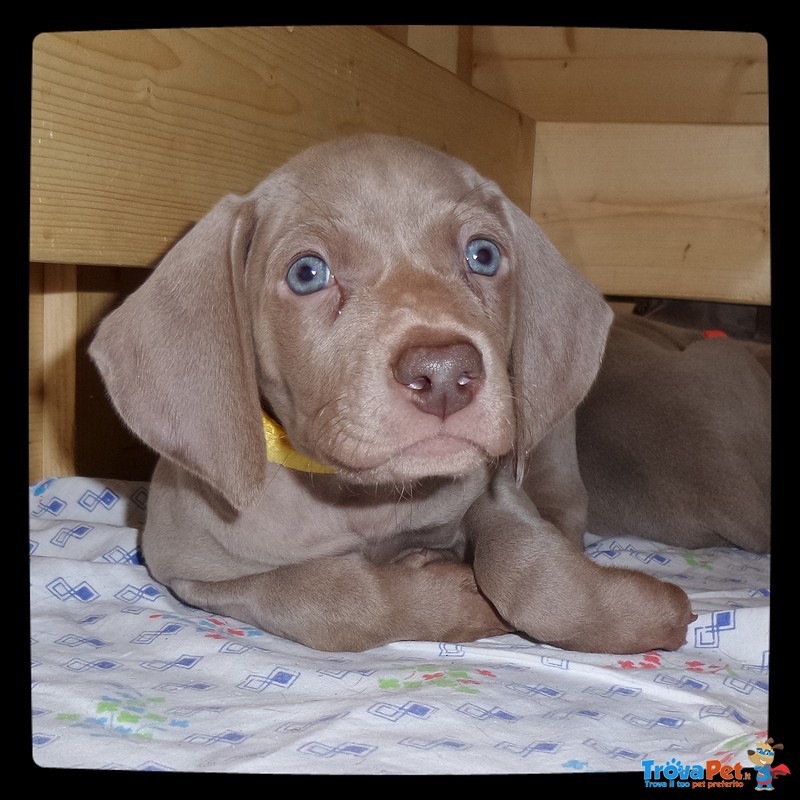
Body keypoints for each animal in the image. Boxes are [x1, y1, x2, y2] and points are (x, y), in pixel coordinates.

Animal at [89, 131, 764, 652]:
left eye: (483, 254)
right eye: (307, 272)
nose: (444, 373)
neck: (367, 501)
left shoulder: (492, 488)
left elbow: (527, 563)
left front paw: (632, 614)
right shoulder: (190, 568)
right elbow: (325, 597)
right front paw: (453, 597)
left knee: (563, 509)